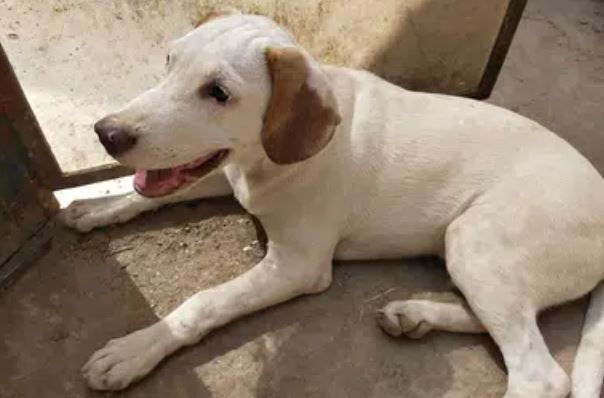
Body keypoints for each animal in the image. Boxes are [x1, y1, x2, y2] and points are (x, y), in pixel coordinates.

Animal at [60, 10, 604, 396]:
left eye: (218, 92)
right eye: (170, 61)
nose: (107, 133)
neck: (264, 162)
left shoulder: (298, 266)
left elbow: (204, 302)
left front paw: (134, 350)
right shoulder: (224, 173)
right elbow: (144, 196)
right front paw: (97, 207)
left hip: (477, 238)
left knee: (539, 374)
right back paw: (415, 315)